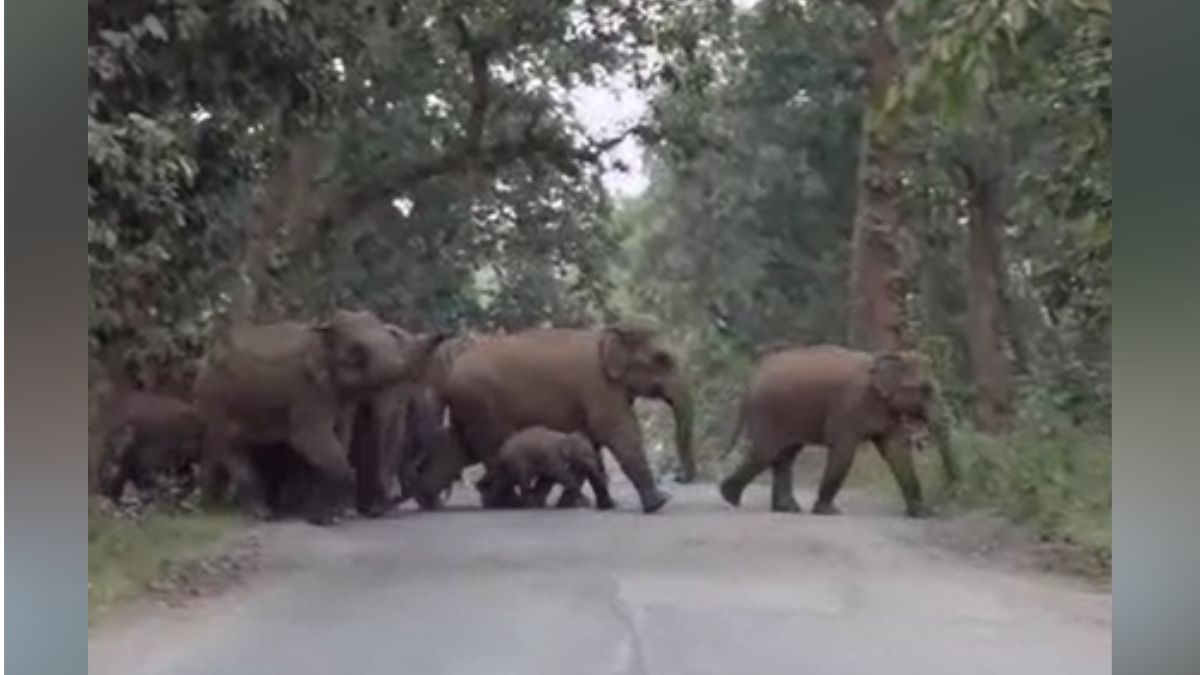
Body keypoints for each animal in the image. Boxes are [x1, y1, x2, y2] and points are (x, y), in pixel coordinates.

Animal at [193, 309, 446, 525]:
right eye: (356, 353)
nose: (444, 332)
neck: (321, 330)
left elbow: (338, 439)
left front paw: (327, 516)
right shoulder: (306, 389)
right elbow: (312, 441)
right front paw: (323, 519)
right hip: (215, 400)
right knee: (230, 444)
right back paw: (261, 515)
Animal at [476, 427, 615, 509]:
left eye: (592, 456)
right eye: (587, 456)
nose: (606, 479)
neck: (565, 437)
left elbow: (547, 479)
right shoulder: (552, 456)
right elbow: (561, 476)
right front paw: (585, 502)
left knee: (507, 481)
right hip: (517, 461)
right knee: (522, 480)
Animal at [718, 345, 940, 518]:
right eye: (926, 389)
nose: (922, 438)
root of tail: (752, 378)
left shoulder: (887, 411)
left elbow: (897, 452)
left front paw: (923, 514)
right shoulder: (849, 407)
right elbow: (844, 451)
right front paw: (828, 512)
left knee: (785, 455)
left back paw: (786, 508)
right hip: (768, 411)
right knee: (766, 453)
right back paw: (730, 497)